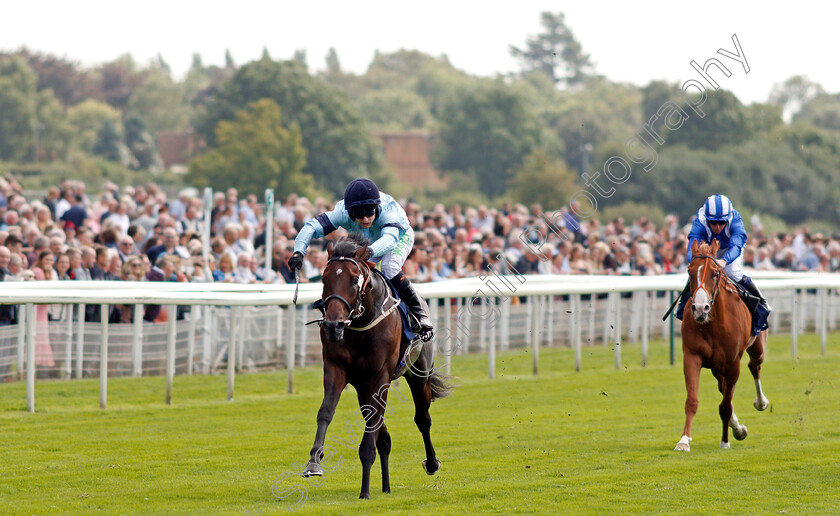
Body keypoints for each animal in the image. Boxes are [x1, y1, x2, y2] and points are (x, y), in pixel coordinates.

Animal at [298, 236, 450, 498]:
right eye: (324, 279)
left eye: (354, 279)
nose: (333, 325)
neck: (361, 321)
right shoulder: (336, 369)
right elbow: (326, 412)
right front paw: (314, 463)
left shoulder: (381, 376)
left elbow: (373, 430)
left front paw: (364, 491)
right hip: (363, 388)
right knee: (384, 436)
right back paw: (386, 487)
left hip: (418, 374)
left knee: (422, 418)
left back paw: (431, 464)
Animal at [672, 240, 772, 450]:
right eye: (690, 272)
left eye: (715, 273)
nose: (700, 308)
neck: (712, 324)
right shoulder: (692, 356)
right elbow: (692, 400)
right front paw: (684, 440)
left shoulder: (733, 363)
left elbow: (725, 406)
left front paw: (725, 441)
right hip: (716, 366)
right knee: (724, 386)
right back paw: (738, 427)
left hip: (757, 346)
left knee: (754, 366)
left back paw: (761, 403)